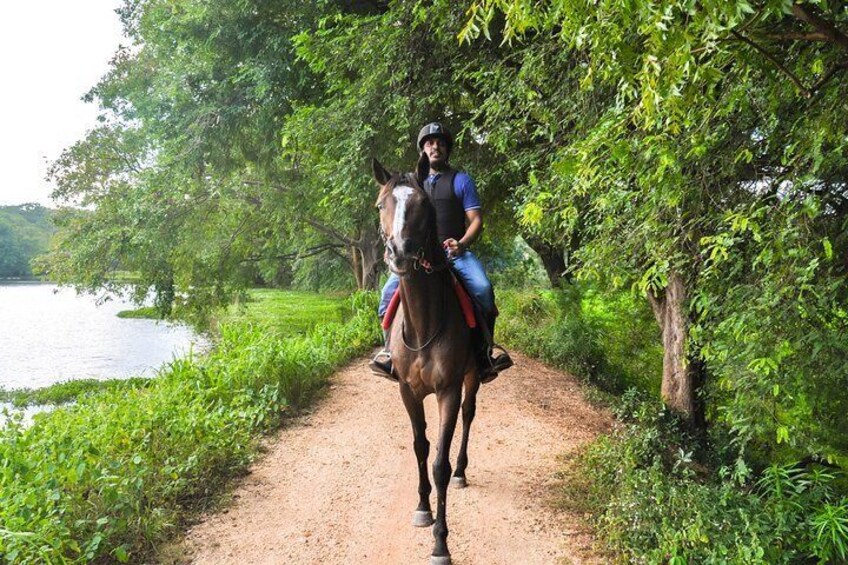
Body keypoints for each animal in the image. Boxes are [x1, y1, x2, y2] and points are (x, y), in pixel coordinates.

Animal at [372, 154, 480, 564]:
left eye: (423, 204)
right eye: (380, 205)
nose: (400, 253)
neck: (424, 323)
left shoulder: (447, 390)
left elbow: (440, 464)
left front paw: (440, 543)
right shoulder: (408, 390)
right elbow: (420, 447)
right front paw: (422, 509)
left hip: (473, 377)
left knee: (468, 415)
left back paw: (464, 471)